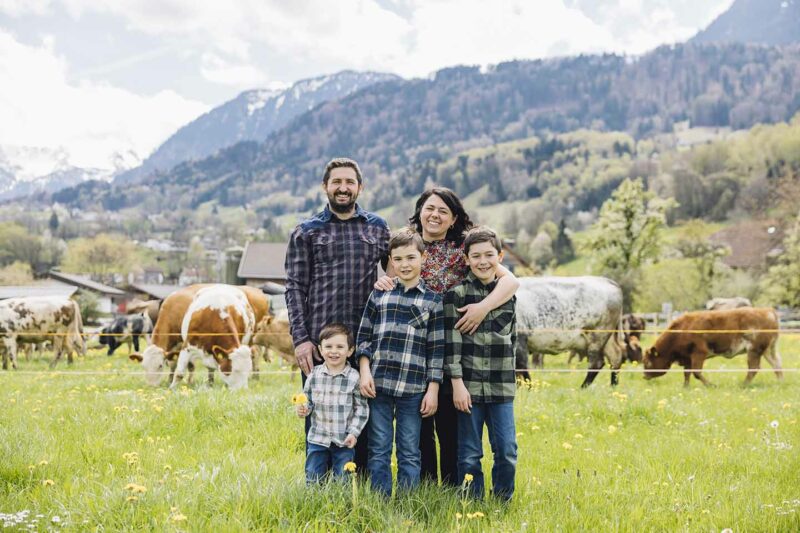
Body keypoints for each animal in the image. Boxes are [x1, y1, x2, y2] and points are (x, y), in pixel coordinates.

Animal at [130, 284, 268, 384]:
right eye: (143, 367)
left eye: (159, 366)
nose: (151, 385)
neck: (173, 309)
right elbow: (173, 363)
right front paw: (171, 380)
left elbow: (186, 365)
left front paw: (189, 381)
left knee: (255, 354)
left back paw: (255, 376)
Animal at [644, 306, 780, 384]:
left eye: (648, 362)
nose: (644, 376)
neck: (682, 329)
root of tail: (767, 311)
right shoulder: (687, 357)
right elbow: (687, 374)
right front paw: (685, 387)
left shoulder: (699, 353)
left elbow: (696, 373)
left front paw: (711, 385)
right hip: (767, 350)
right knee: (776, 364)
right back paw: (780, 382)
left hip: (754, 350)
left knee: (753, 368)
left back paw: (743, 385)